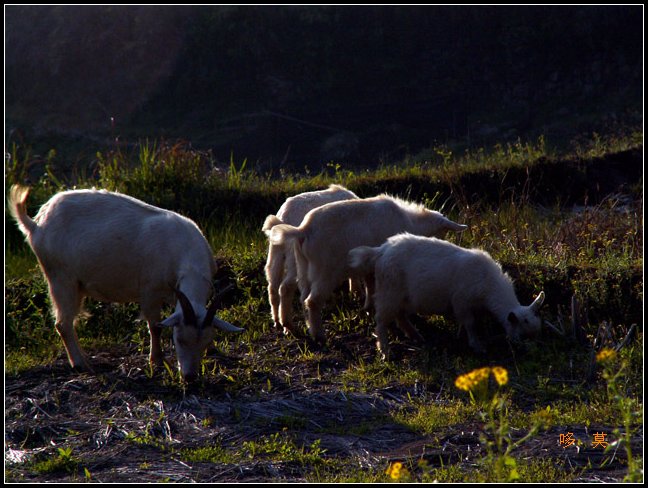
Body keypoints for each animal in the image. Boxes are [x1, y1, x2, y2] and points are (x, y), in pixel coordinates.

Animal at [9, 186, 243, 382]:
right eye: (178, 339)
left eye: (205, 342)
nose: (190, 377)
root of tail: (36, 223)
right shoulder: (150, 290)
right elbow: (154, 326)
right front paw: (156, 361)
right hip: (60, 277)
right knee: (63, 323)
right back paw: (81, 364)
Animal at [260, 185, 360, 334]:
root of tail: (283, 218)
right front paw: (355, 294)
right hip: (294, 255)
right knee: (286, 286)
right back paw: (288, 326)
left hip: (276, 251)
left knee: (272, 284)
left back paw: (277, 322)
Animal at [268, 194, 466, 344]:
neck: (410, 222)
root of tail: (303, 230)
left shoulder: (371, 264)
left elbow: (370, 285)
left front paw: (368, 307)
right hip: (325, 271)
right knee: (312, 301)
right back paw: (319, 336)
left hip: (303, 266)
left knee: (299, 296)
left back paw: (295, 325)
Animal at [346, 233, 544, 358]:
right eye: (523, 337)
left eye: (536, 333)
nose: (536, 353)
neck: (489, 284)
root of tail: (381, 250)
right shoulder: (462, 303)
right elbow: (471, 324)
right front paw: (476, 346)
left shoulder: (471, 307)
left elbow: (472, 323)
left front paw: (464, 337)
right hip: (389, 292)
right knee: (381, 321)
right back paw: (385, 351)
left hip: (401, 296)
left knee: (400, 316)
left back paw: (415, 335)